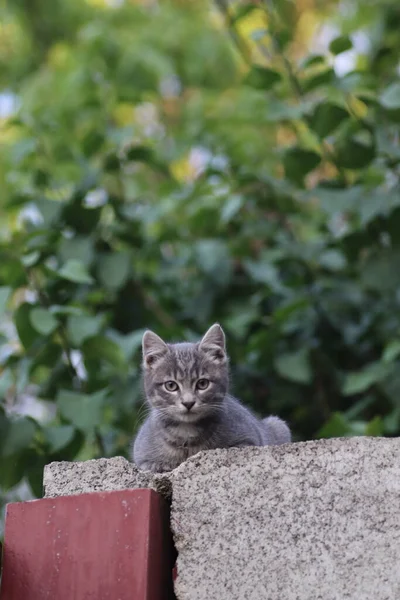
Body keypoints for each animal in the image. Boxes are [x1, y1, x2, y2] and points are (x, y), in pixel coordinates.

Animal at [131, 324, 290, 474]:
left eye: (202, 384)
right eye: (171, 385)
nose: (188, 402)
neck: (186, 432)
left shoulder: (250, 439)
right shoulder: (141, 452)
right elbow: (148, 463)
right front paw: (160, 465)